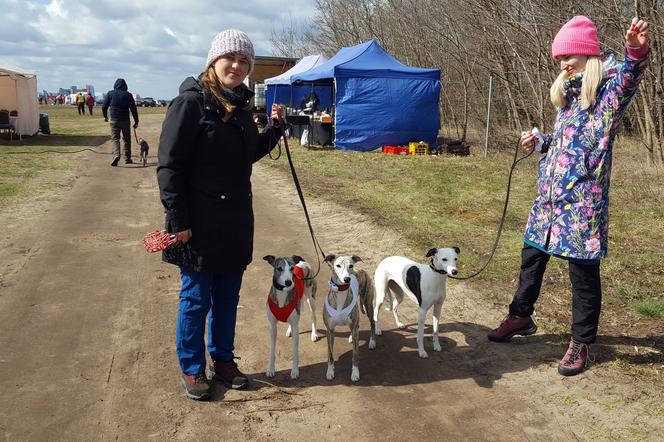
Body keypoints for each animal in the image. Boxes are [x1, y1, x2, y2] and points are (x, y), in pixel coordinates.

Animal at [322, 254, 376, 382]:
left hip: (367, 304)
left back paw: (372, 342)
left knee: (373, 321)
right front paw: (330, 371)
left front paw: (355, 373)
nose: (347, 279)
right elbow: (330, 355)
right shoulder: (329, 331)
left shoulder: (354, 326)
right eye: (338, 265)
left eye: (350, 265)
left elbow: (355, 355)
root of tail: (362, 270)